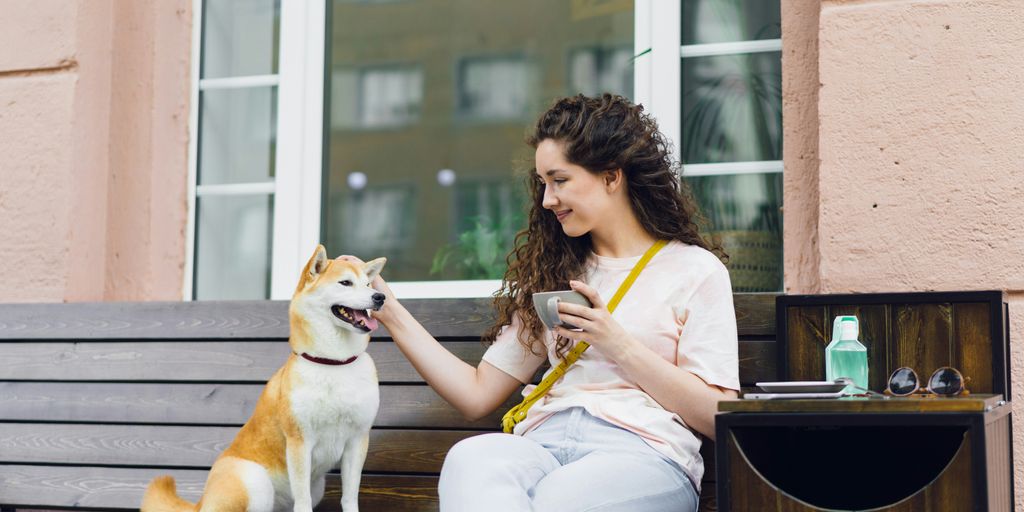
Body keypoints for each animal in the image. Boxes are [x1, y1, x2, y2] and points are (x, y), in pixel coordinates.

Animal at [141, 244, 385, 512]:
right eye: (345, 282)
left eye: (369, 284)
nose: (380, 297)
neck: (333, 363)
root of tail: (201, 501)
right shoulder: (299, 441)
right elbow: (303, 501)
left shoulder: (357, 440)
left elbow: (349, 497)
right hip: (254, 482)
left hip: (314, 487)